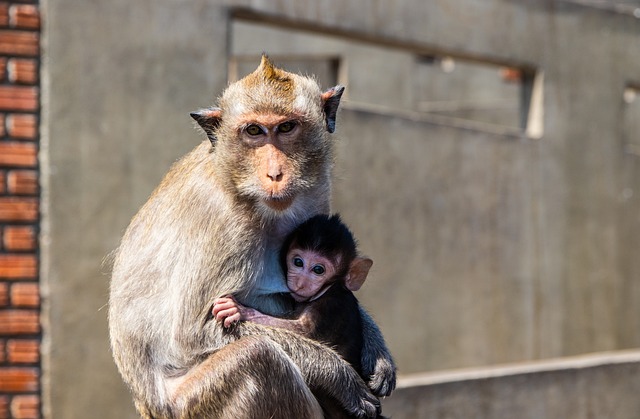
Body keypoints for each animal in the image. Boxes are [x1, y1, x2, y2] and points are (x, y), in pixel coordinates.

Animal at [215, 215, 376, 376]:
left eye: (318, 270)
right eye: (298, 262)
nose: (299, 283)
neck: (330, 288)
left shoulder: (331, 306)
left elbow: (303, 331)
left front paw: (240, 310)